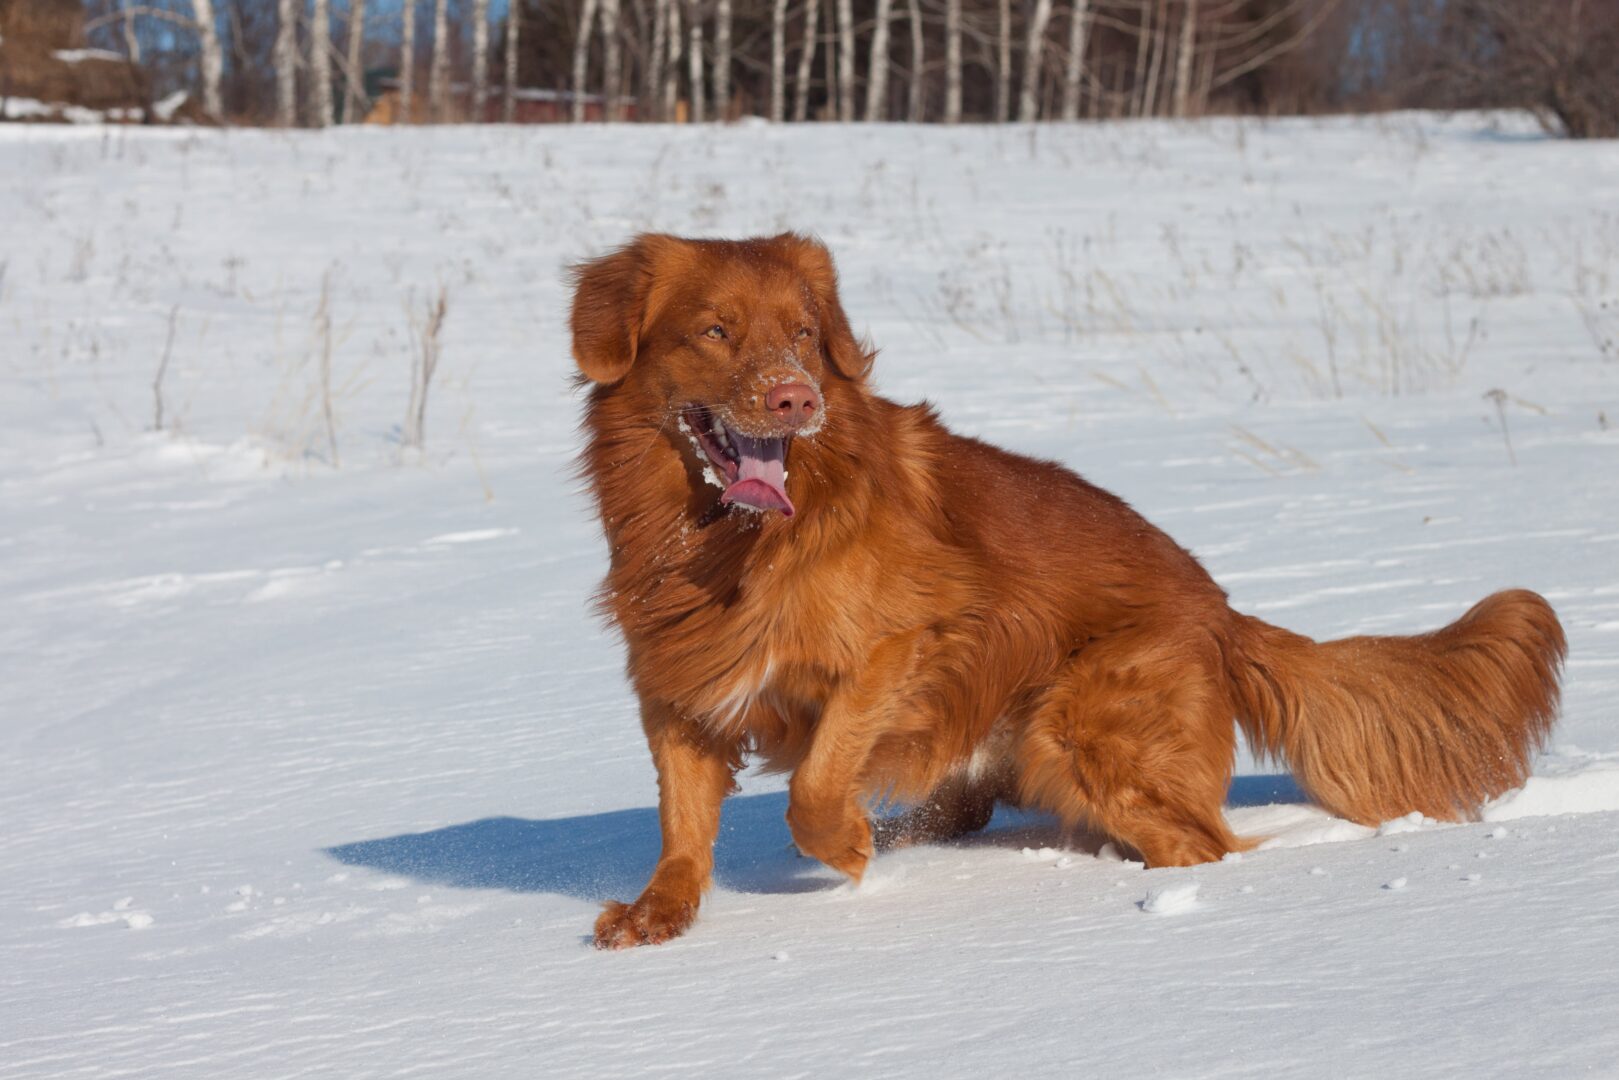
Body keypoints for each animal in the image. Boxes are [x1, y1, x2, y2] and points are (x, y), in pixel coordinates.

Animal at [573, 233, 1567, 952]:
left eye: (806, 336)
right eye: (714, 331)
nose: (795, 399)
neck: (724, 541)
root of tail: (1222, 611)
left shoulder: (904, 644)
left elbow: (815, 784)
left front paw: (849, 849)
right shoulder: (678, 689)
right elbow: (680, 821)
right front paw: (657, 915)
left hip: (1082, 722)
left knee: (1196, 839)